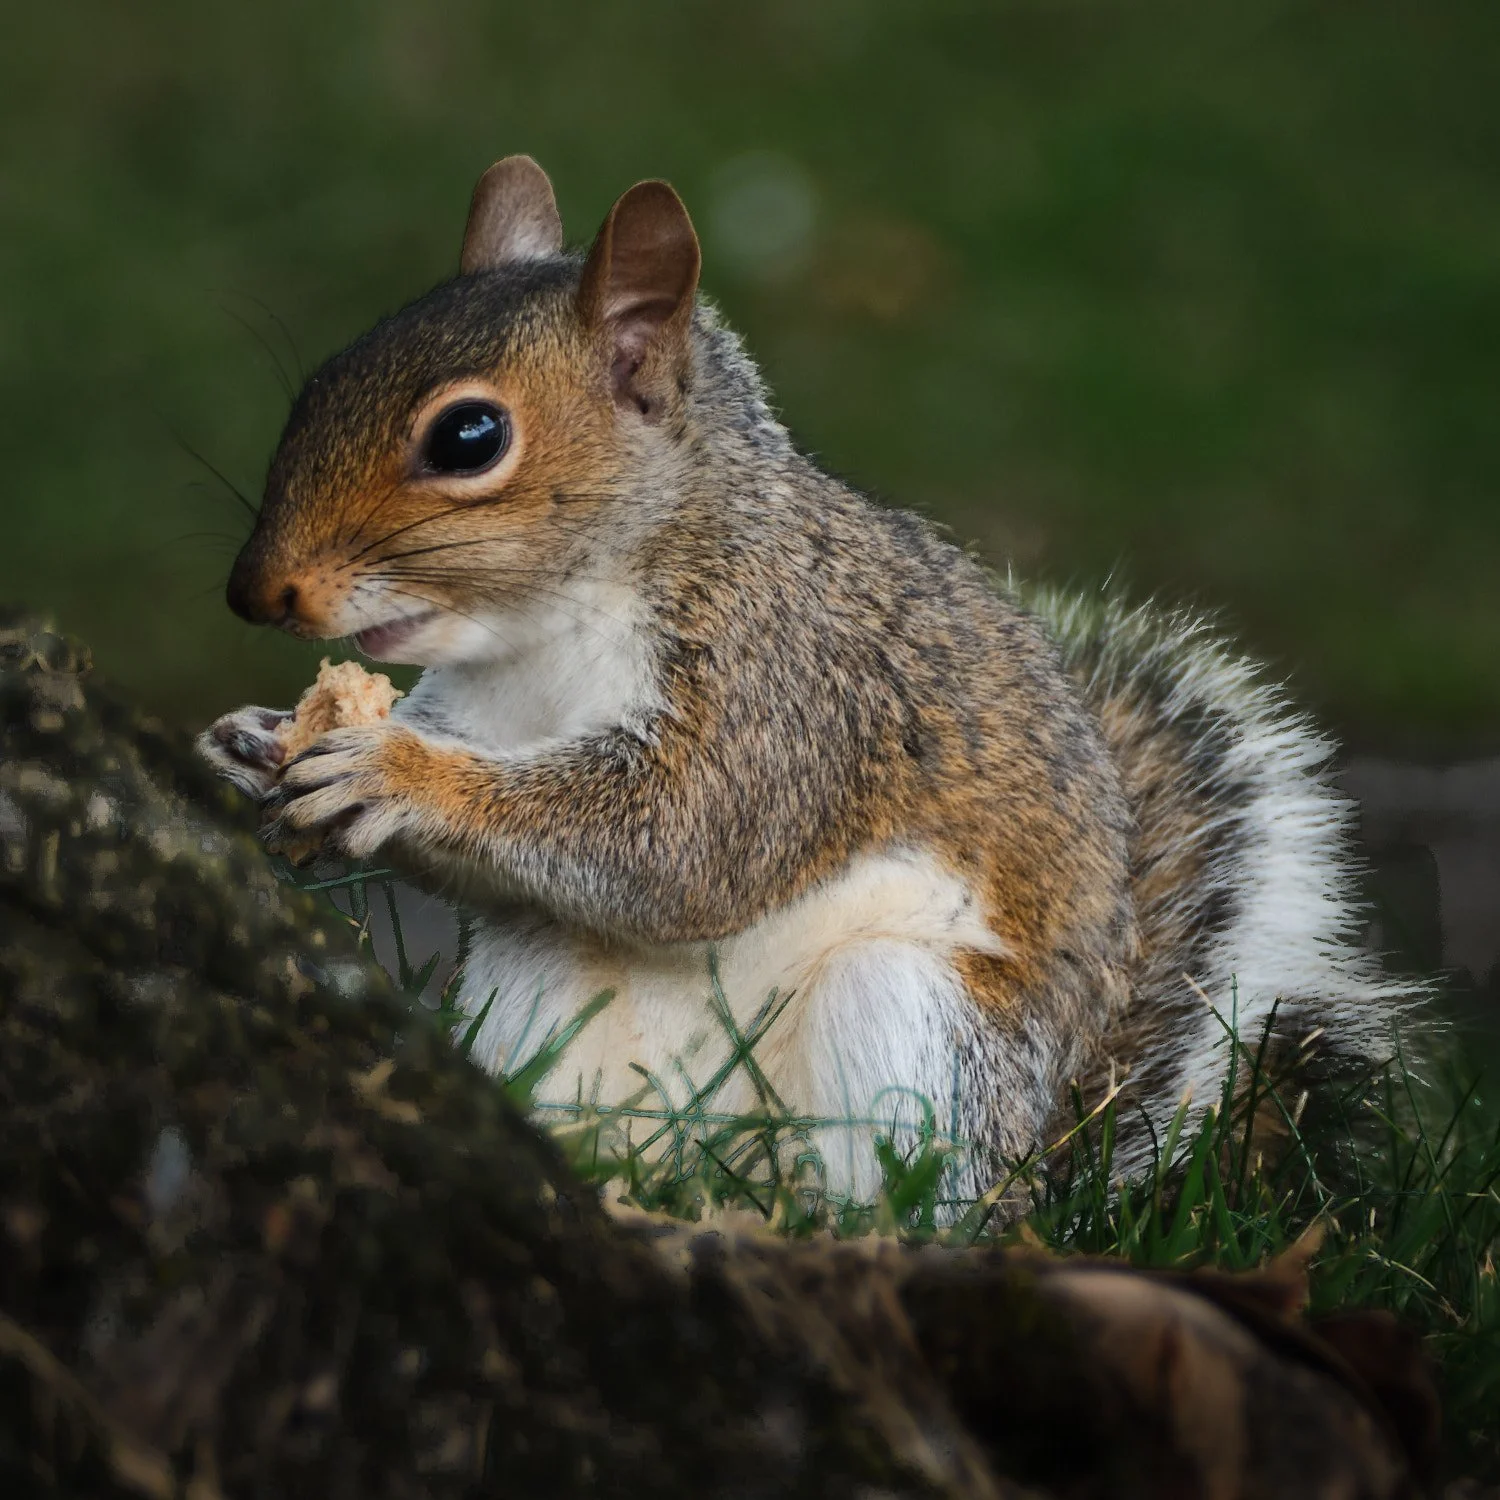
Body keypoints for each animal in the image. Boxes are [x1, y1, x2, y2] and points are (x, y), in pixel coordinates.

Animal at [198, 155, 1411, 1201]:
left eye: (469, 436)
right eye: (317, 384)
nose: (258, 593)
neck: (544, 636)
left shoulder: (792, 681)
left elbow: (686, 840)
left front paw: (392, 776)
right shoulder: (478, 704)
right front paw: (256, 744)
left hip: (915, 1024)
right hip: (536, 984)